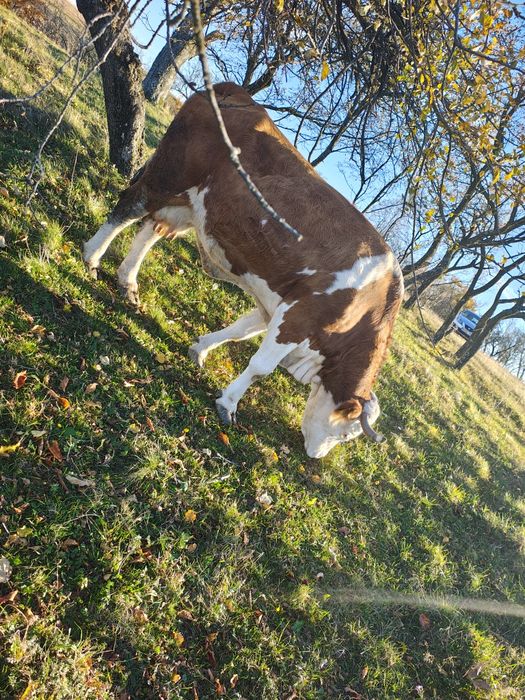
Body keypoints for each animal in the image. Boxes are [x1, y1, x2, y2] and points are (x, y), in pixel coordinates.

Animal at [82, 82, 404, 458]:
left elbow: (238, 331)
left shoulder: (278, 307)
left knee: (151, 230)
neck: (369, 303)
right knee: (128, 207)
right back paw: (91, 257)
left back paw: (128, 282)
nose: (315, 457)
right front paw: (228, 404)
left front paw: (200, 349)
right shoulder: (299, 318)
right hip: (168, 174)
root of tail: (240, 95)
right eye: (346, 434)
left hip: (193, 201)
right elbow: (260, 366)